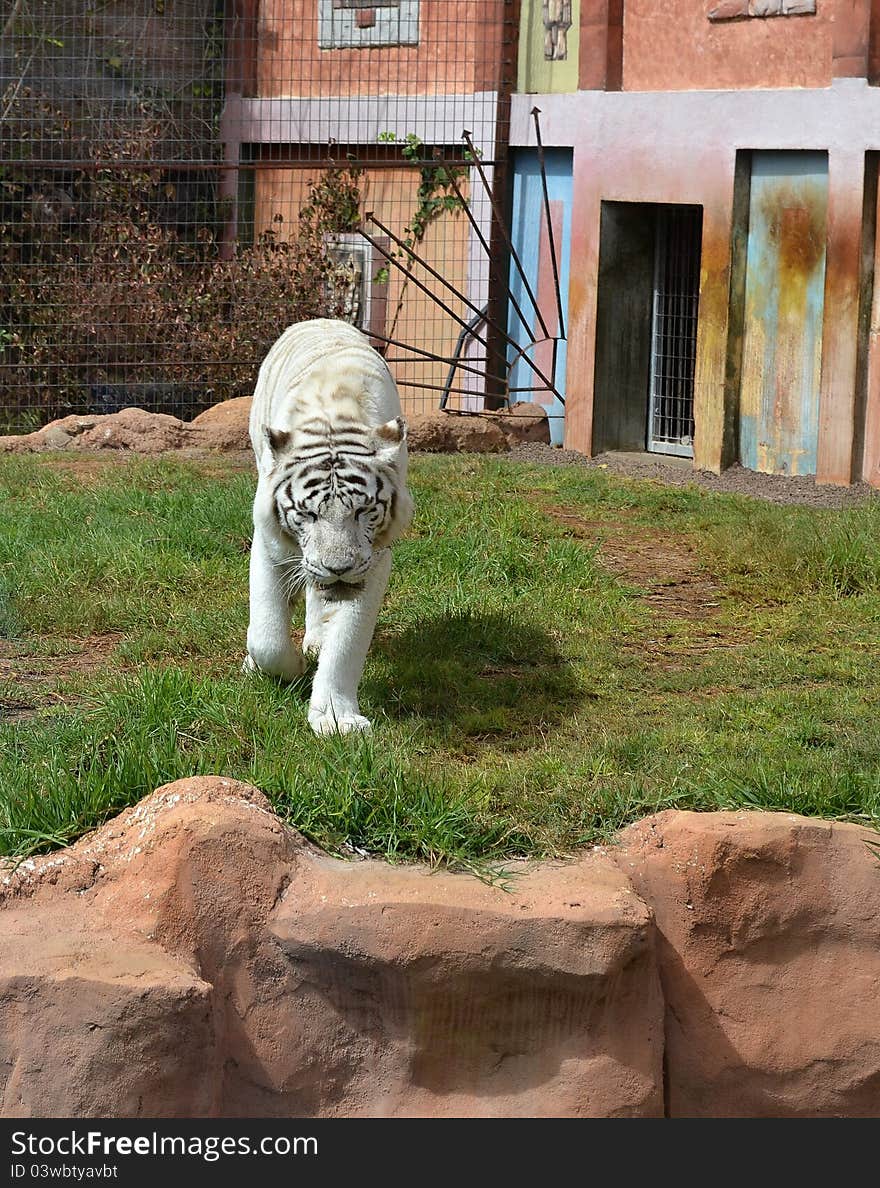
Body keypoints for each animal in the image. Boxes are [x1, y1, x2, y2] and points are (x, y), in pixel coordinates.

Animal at [245, 318, 413, 731]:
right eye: (307, 514)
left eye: (363, 510)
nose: (338, 569)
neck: (334, 419)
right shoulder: (270, 545)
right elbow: (267, 635)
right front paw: (287, 668)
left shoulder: (373, 561)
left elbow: (348, 641)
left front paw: (337, 719)